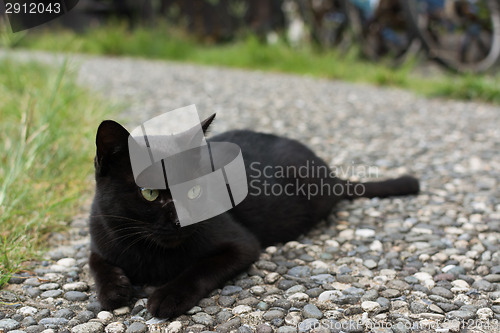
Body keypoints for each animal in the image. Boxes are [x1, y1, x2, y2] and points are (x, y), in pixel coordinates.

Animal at [89, 115, 418, 318]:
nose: (184, 221)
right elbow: (97, 265)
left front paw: (168, 296)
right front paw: (114, 290)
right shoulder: (99, 238)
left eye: (194, 190)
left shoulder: (242, 244)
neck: (150, 254)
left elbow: (200, 268)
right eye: (149, 194)